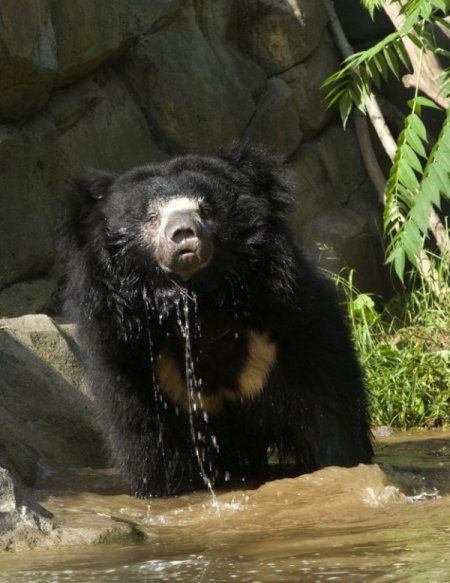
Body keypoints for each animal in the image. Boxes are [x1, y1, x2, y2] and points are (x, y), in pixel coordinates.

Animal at [59, 144, 373, 498]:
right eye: (150, 217)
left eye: (206, 209)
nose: (183, 234)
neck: (202, 309)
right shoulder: (136, 366)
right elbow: (153, 446)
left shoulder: (293, 329)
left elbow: (327, 417)